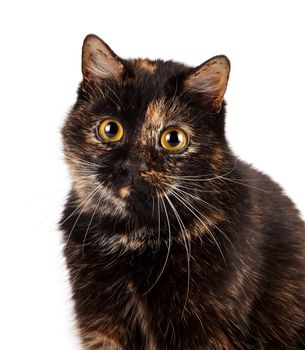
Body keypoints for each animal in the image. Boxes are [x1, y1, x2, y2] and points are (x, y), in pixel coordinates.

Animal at [59, 33, 304, 350]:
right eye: (110, 129)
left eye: (173, 139)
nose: (133, 165)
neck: (135, 237)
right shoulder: (101, 325)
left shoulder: (205, 331)